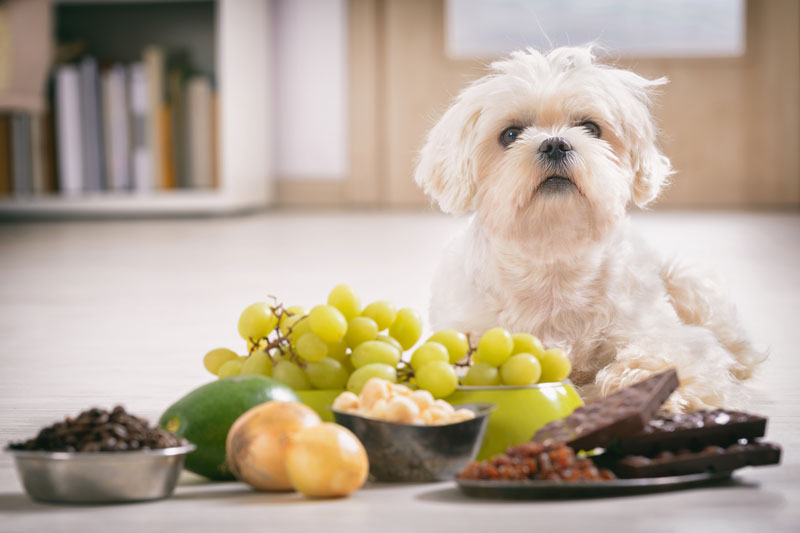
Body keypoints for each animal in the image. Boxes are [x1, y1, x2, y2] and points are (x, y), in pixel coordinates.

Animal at [416, 46, 764, 412]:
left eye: (590, 128)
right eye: (510, 134)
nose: (554, 143)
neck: (554, 254)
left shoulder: (667, 336)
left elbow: (666, 358)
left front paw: (638, 384)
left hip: (688, 284)